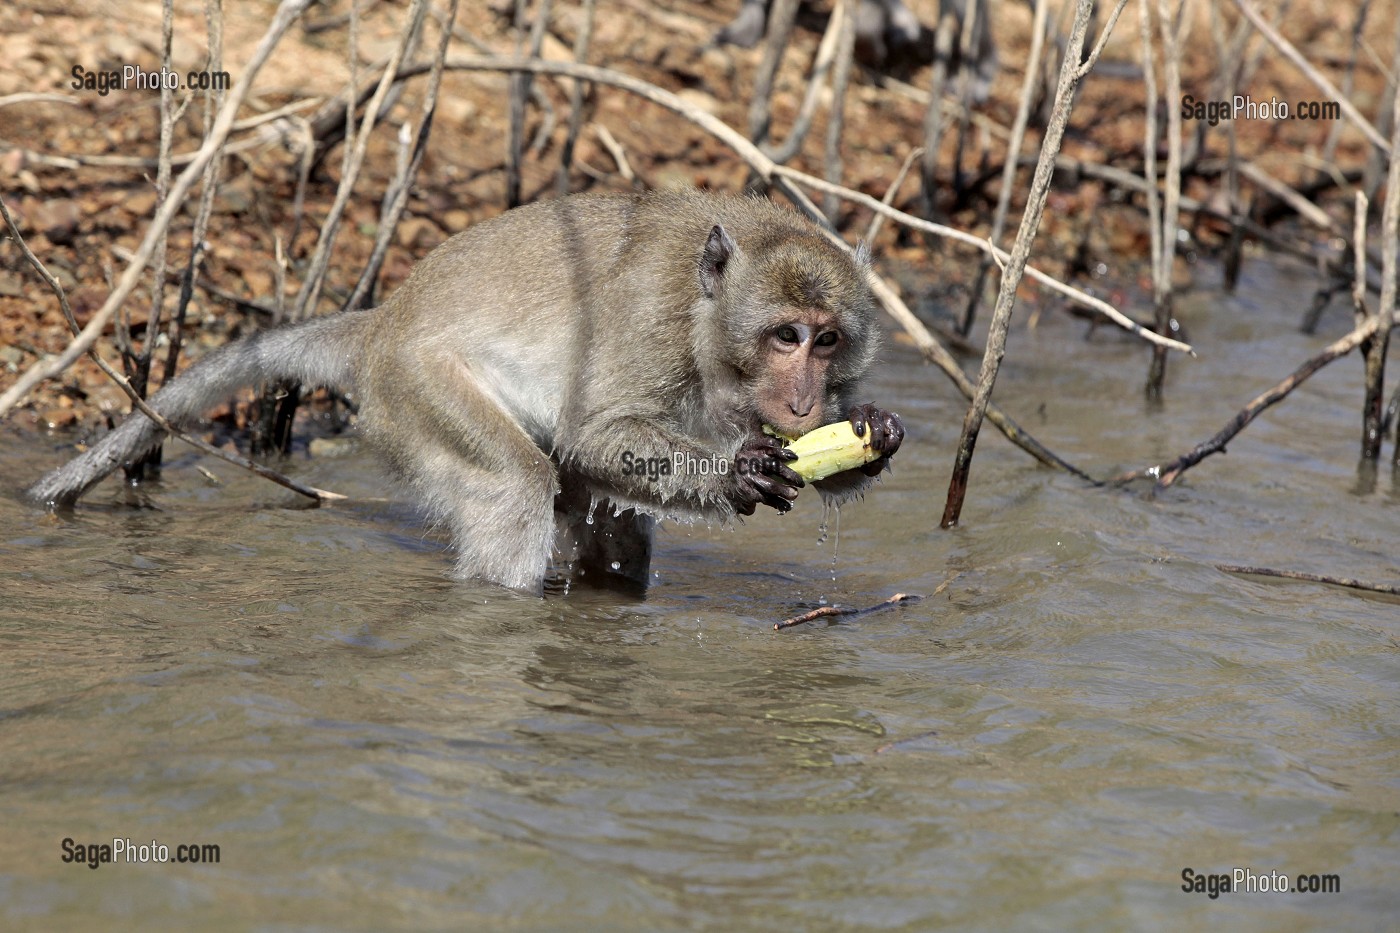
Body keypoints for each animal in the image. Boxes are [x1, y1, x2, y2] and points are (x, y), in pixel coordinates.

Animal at [28, 190, 904, 595]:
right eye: (784, 336)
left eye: (827, 339)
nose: (804, 403)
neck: (707, 316)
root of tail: (382, 324)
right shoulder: (649, 317)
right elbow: (594, 431)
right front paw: (740, 471)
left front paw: (871, 433)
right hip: (416, 389)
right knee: (518, 481)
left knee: (604, 523)